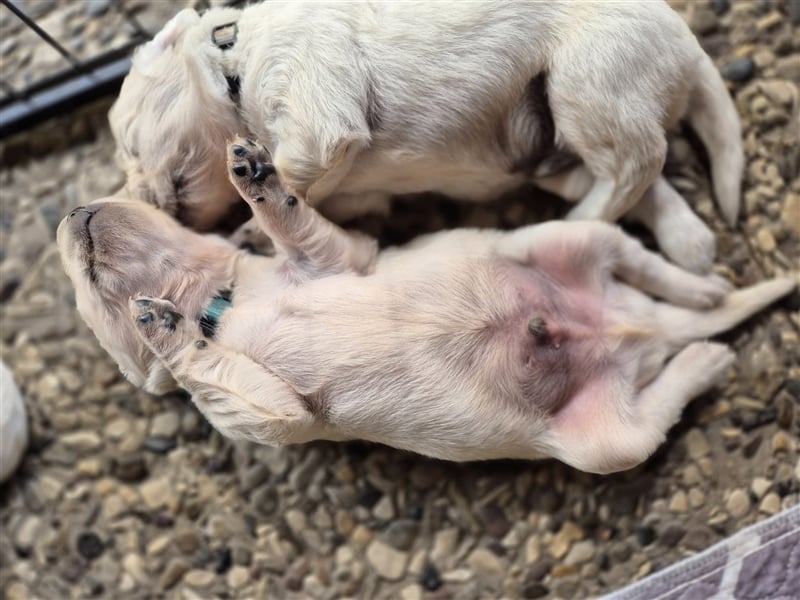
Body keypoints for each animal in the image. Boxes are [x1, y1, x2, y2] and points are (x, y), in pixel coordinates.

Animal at [57, 139, 792, 474]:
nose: (70, 210)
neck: (221, 302)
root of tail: (637, 331)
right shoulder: (268, 418)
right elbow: (205, 369)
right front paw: (160, 325)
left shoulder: (339, 255)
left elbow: (294, 223)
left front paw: (255, 174)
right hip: (604, 443)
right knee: (655, 410)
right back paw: (705, 354)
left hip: (560, 238)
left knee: (641, 261)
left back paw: (703, 292)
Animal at [111, 1, 744, 274]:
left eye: (129, 147)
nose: (131, 196)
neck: (232, 59)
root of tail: (689, 45)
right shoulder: (355, 190)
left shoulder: (315, 111)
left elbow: (292, 170)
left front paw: (250, 224)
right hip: (565, 141)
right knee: (637, 178)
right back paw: (689, 242)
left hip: (587, 78)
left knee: (637, 164)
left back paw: (564, 227)